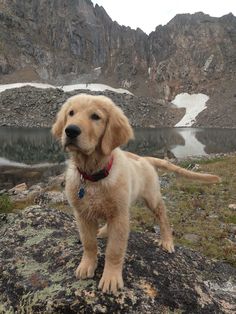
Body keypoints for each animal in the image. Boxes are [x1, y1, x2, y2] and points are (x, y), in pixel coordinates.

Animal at [51, 93, 219, 294]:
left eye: (95, 116)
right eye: (71, 113)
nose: (70, 131)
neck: (93, 176)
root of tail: (144, 159)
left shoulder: (120, 216)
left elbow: (114, 250)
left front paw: (111, 278)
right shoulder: (83, 215)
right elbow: (89, 243)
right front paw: (86, 265)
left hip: (152, 198)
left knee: (163, 217)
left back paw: (167, 241)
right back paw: (105, 230)